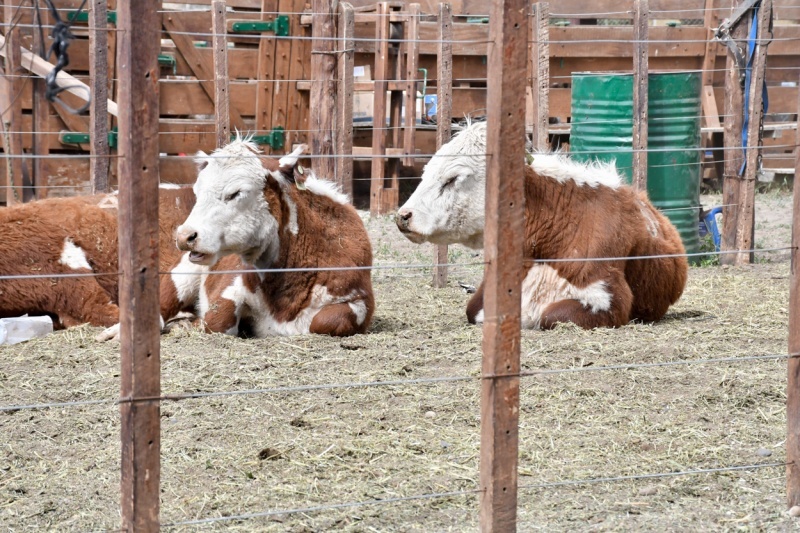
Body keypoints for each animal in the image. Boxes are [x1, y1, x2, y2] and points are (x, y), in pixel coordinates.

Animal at [100, 137, 376, 336]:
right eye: (197, 191)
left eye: (235, 193)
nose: (185, 235)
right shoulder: (229, 285)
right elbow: (217, 318)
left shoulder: (360, 300)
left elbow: (326, 319)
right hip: (183, 273)